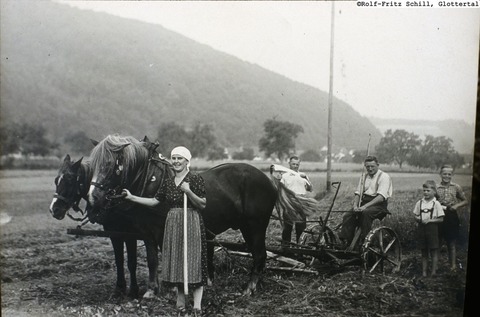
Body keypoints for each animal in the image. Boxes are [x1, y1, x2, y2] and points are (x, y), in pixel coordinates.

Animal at [86, 133, 278, 294]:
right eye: (91, 166)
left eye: (109, 164)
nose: (93, 198)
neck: (150, 180)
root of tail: (269, 182)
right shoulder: (147, 233)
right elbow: (152, 259)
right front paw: (152, 289)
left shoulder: (161, 230)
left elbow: (167, 257)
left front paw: (170, 287)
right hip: (247, 227)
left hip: (255, 225)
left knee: (260, 255)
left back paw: (249, 288)